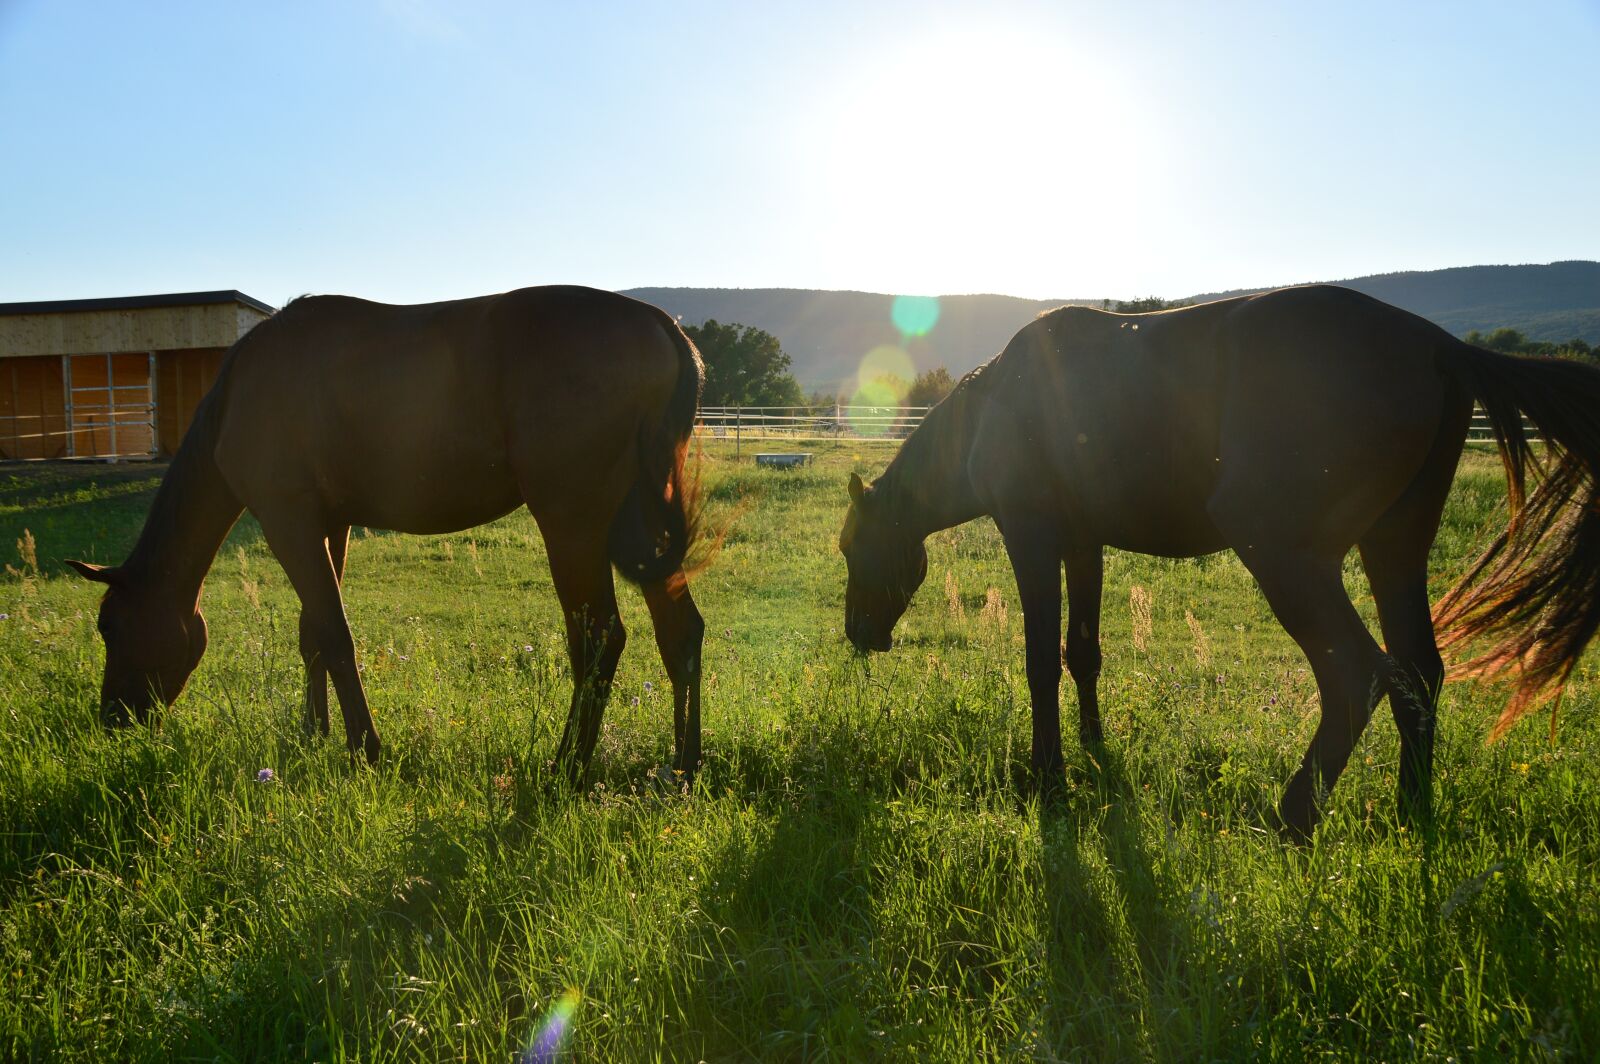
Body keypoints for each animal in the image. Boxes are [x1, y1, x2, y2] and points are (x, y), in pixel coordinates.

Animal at [68, 285, 707, 785]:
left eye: (110, 626)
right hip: (639, 526)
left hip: (573, 522)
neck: (237, 396)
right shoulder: (330, 524)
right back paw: (684, 765)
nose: (112, 720)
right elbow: (313, 636)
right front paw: (314, 734)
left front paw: (363, 750)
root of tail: (665, 328)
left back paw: (567, 768)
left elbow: (334, 633)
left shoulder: (287, 519)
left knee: (599, 638)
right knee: (679, 631)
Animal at [840, 284, 1600, 838]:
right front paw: (1094, 750)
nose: (858, 634)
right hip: (1394, 548)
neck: (1000, 399)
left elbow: (1039, 661)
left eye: (850, 547)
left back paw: (1293, 818)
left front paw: (1049, 777)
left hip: (1286, 557)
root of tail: (1439, 347)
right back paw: (1411, 813)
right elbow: (1082, 653)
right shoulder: (1084, 545)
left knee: (1358, 673)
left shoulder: (1032, 537)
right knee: (1418, 670)